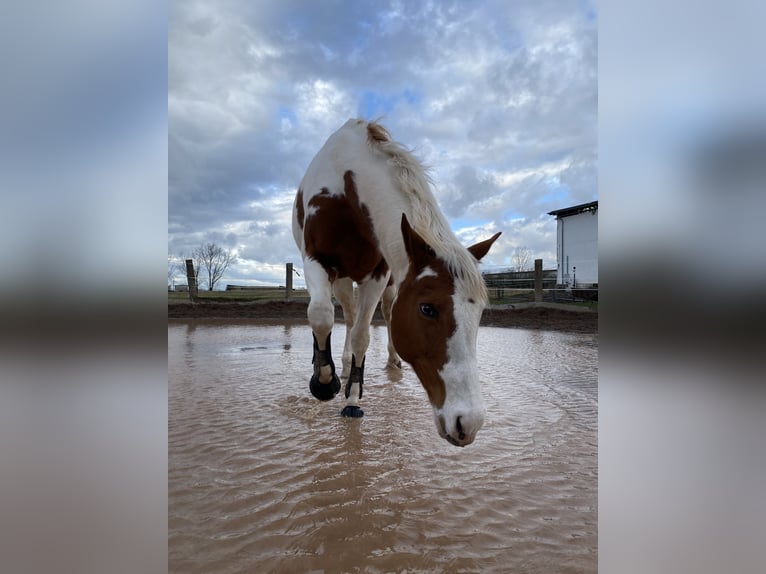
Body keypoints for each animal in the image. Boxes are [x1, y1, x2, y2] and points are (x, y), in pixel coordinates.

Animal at [292, 119, 501, 447]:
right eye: (427, 308)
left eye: (479, 313)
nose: (469, 422)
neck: (346, 187)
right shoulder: (316, 260)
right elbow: (321, 316)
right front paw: (325, 382)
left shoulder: (378, 273)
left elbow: (363, 335)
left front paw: (353, 398)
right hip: (340, 278)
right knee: (343, 314)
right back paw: (342, 366)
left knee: (380, 314)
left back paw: (385, 361)